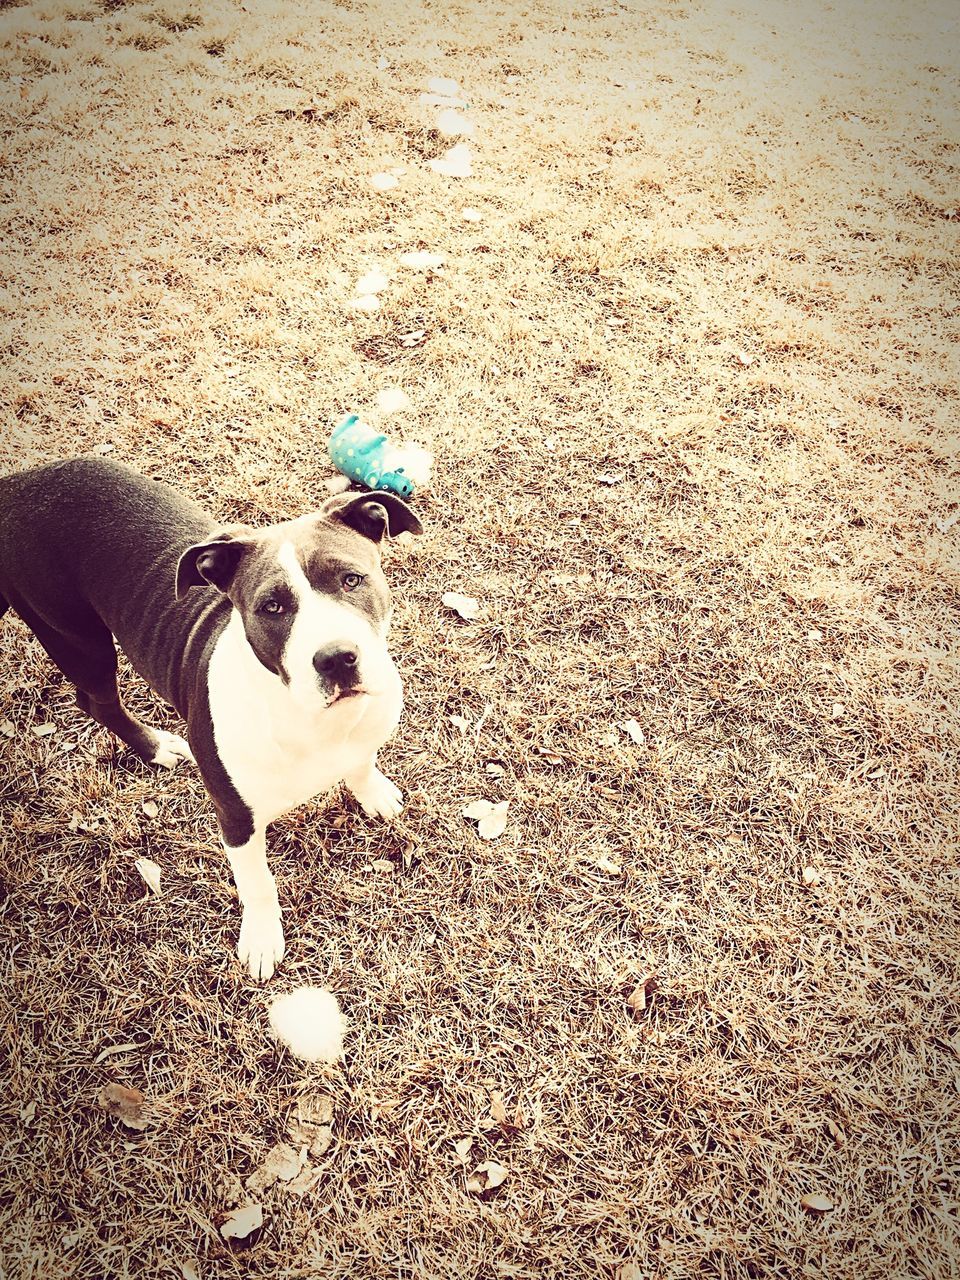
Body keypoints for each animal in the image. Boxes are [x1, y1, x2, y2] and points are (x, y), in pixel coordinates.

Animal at [0, 460, 422, 977]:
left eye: (352, 580)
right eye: (272, 607)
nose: (337, 658)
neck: (310, 718)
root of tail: (16, 484)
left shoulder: (363, 735)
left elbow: (362, 761)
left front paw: (374, 792)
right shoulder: (235, 819)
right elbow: (257, 883)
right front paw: (262, 940)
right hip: (75, 636)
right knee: (97, 701)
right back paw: (155, 746)